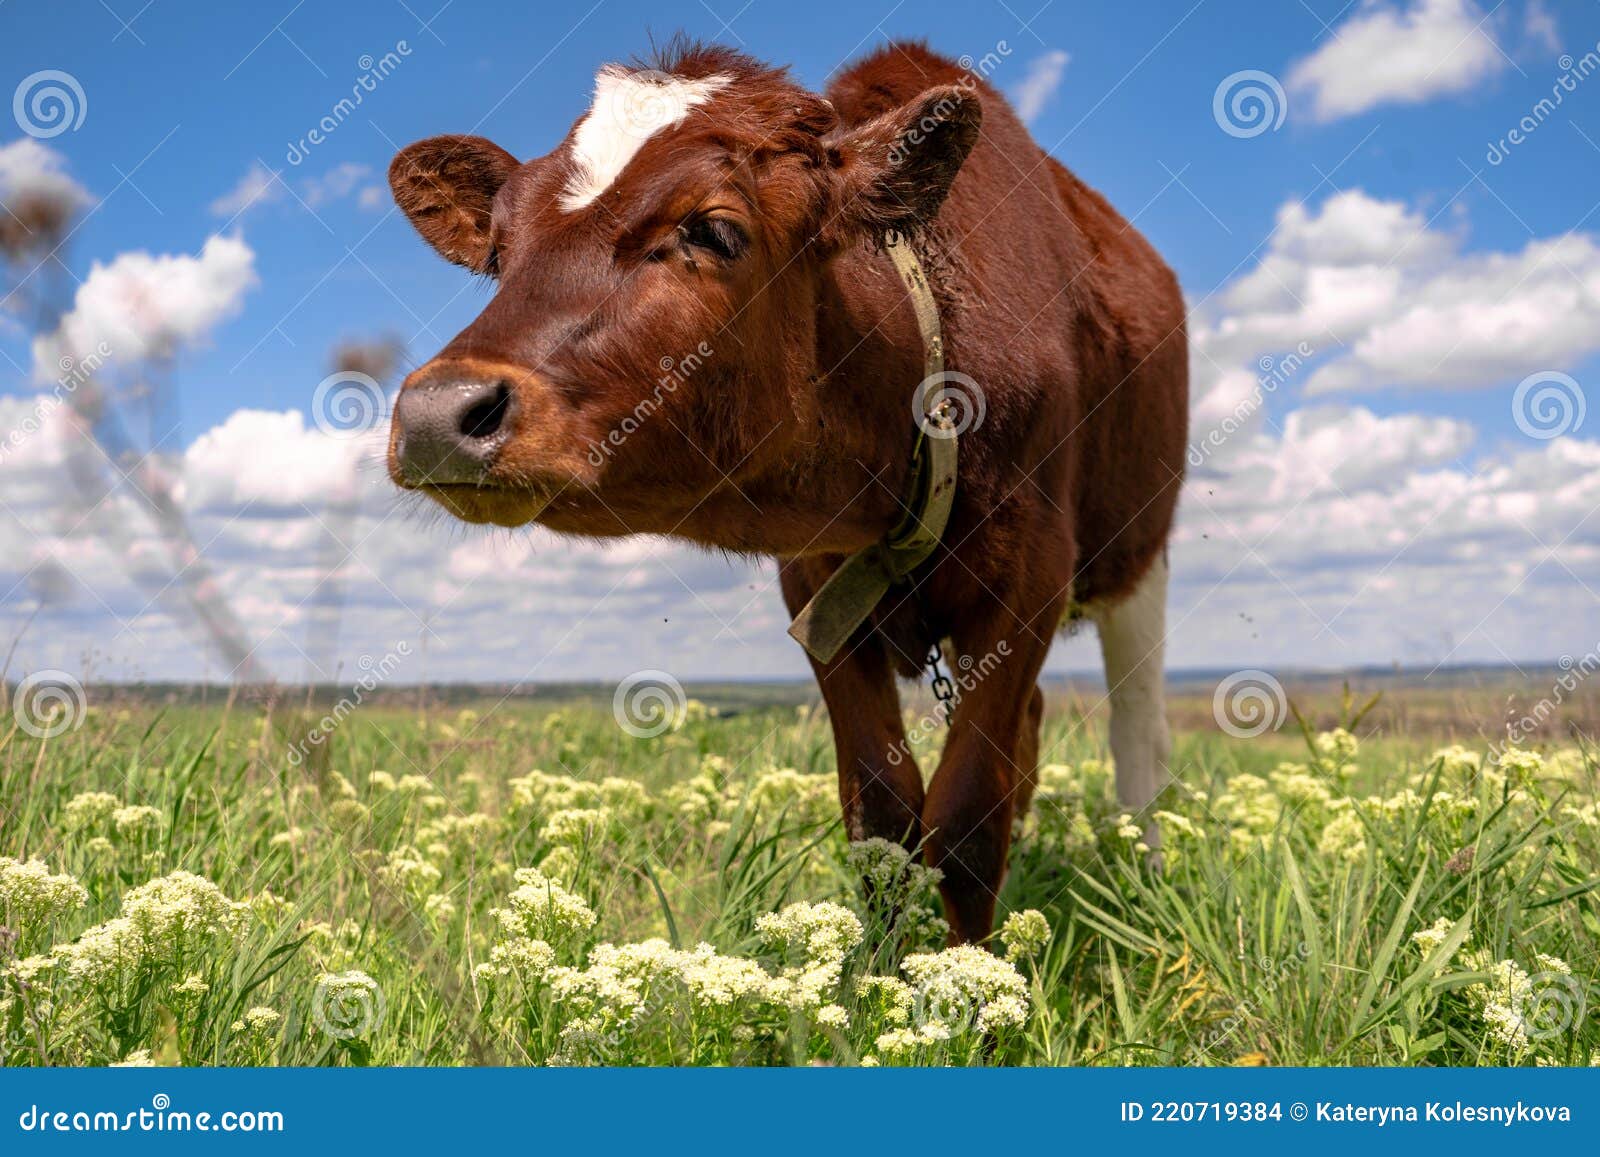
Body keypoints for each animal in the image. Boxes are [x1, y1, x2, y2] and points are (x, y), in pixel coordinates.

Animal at [387, 40, 1190, 947]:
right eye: (498, 251)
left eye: (714, 229)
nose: (437, 413)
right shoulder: (819, 587)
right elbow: (883, 818)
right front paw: (877, 975)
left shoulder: (1031, 579)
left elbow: (968, 822)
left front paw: (973, 987)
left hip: (1139, 559)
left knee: (1139, 741)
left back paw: (1147, 881)